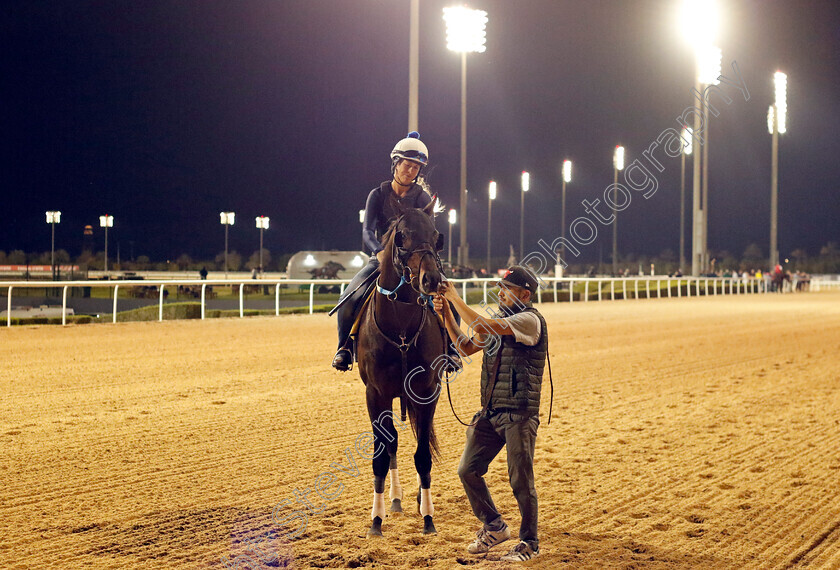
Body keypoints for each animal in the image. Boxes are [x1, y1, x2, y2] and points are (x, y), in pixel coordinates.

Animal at [354, 201, 446, 536]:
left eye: (436, 236)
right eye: (402, 237)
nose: (431, 280)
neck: (402, 330)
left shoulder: (428, 391)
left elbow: (423, 454)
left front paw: (428, 517)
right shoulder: (376, 393)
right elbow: (382, 454)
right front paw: (376, 519)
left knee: (420, 439)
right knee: (392, 442)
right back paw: (393, 499)